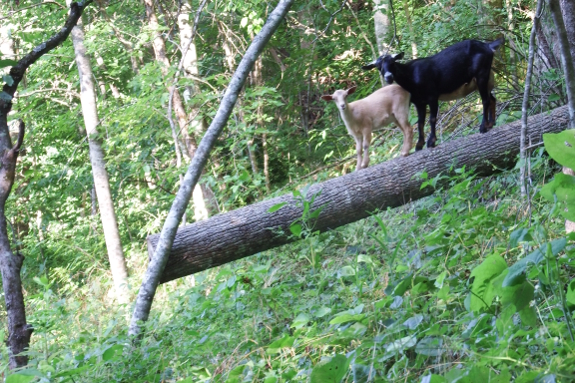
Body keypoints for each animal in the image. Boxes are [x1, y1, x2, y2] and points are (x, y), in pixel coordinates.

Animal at [364, 39, 504, 150]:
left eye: (392, 62)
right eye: (378, 66)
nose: (388, 77)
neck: (411, 76)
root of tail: (488, 46)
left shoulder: (432, 96)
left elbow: (431, 119)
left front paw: (431, 142)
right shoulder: (419, 102)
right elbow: (420, 122)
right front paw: (419, 145)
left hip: (481, 74)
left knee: (485, 100)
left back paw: (483, 127)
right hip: (482, 80)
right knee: (492, 99)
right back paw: (491, 123)